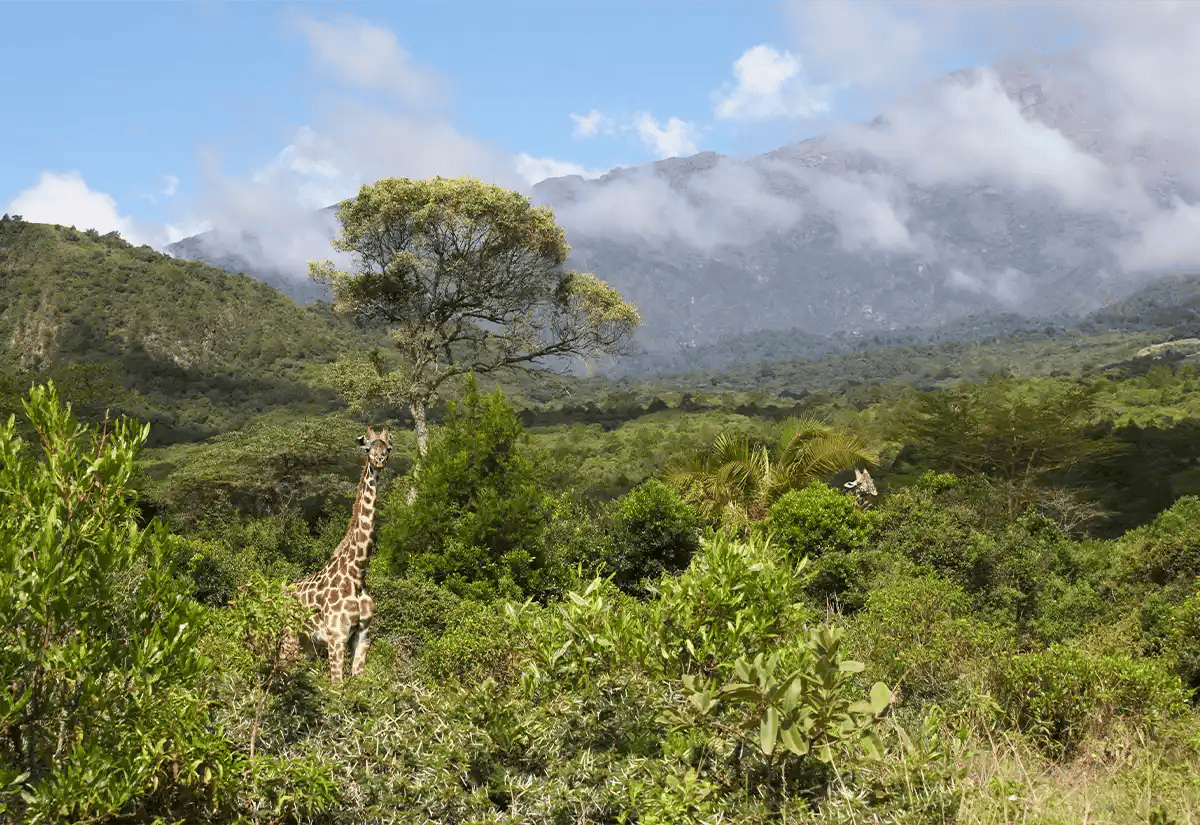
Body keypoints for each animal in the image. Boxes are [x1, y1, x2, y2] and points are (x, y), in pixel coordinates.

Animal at [283, 425, 392, 683]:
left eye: (389, 448)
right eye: (367, 448)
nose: (380, 460)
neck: (357, 574)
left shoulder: (363, 638)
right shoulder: (336, 637)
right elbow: (337, 685)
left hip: (307, 643)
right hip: (288, 635)